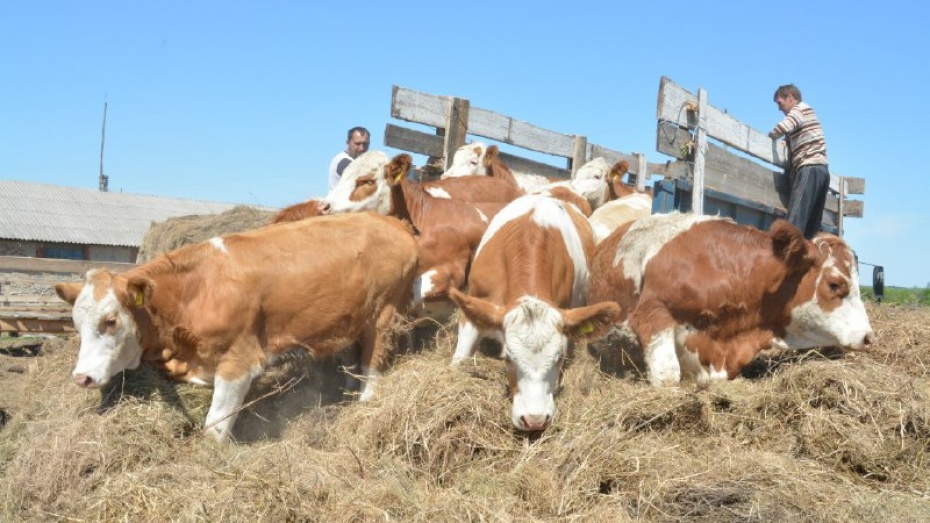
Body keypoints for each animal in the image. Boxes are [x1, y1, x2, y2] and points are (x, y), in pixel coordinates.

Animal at [56, 213, 418, 442]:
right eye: (76, 323)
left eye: (111, 320)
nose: (81, 377)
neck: (196, 289)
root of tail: (392, 222)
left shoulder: (239, 362)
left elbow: (215, 426)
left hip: (384, 314)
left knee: (374, 361)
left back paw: (364, 403)